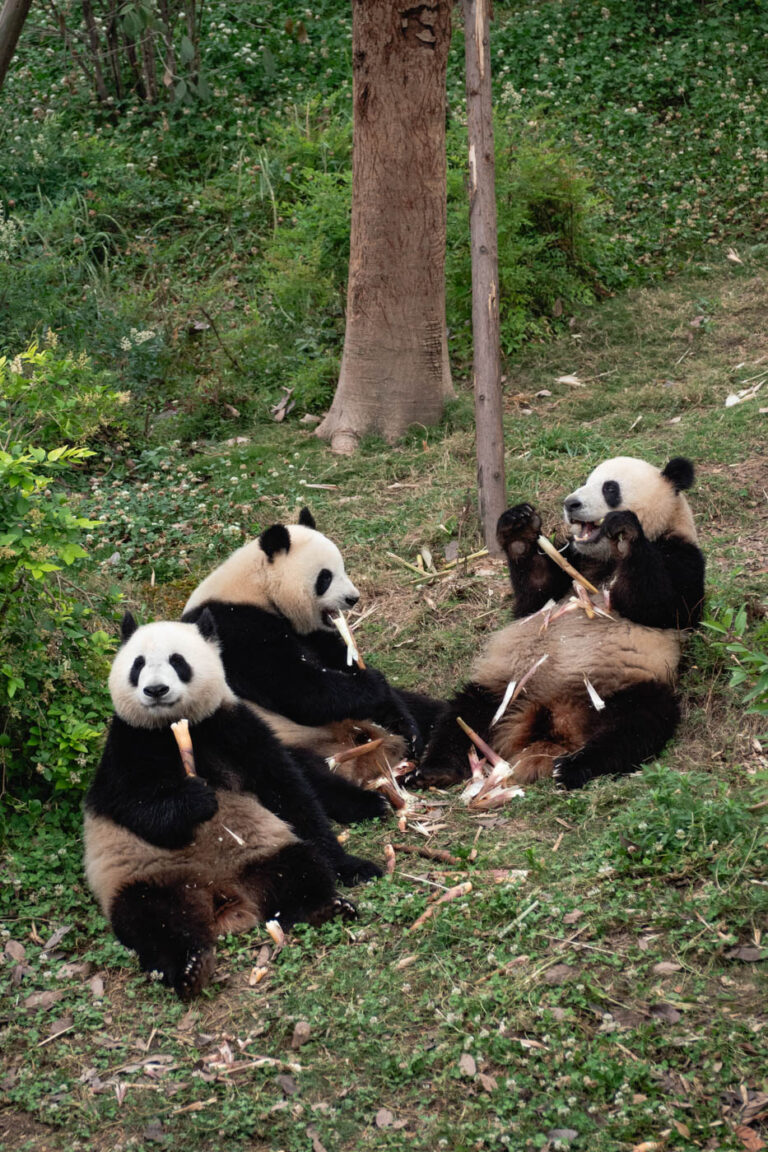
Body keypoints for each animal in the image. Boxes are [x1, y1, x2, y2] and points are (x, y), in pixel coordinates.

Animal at [84, 612, 380, 1000]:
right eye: (138, 664)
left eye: (178, 661)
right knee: (151, 921)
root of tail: (223, 896)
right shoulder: (127, 746)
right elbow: (132, 806)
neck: (174, 729)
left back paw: (327, 907)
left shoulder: (234, 727)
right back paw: (189, 967)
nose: (155, 690)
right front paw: (197, 801)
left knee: (298, 868)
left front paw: (353, 863)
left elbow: (289, 790)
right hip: (147, 878)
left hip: (264, 851)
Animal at [182, 508, 444, 809]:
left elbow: (340, 663)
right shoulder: (236, 632)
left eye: (343, 567)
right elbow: (298, 688)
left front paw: (409, 730)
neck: (257, 587)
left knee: (425, 707)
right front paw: (373, 683)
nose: (353, 598)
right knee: (301, 775)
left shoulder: (310, 633)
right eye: (325, 577)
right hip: (276, 737)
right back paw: (368, 802)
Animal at [411, 456, 705, 792]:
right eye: (587, 480)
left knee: (637, 724)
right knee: (463, 715)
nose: (571, 504)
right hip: (506, 687)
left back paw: (573, 767)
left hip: (623, 685)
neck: (601, 558)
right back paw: (435, 770)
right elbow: (535, 597)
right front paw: (518, 527)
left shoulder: (681, 554)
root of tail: (553, 720)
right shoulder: (572, 558)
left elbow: (664, 604)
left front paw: (624, 530)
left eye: (610, 488)